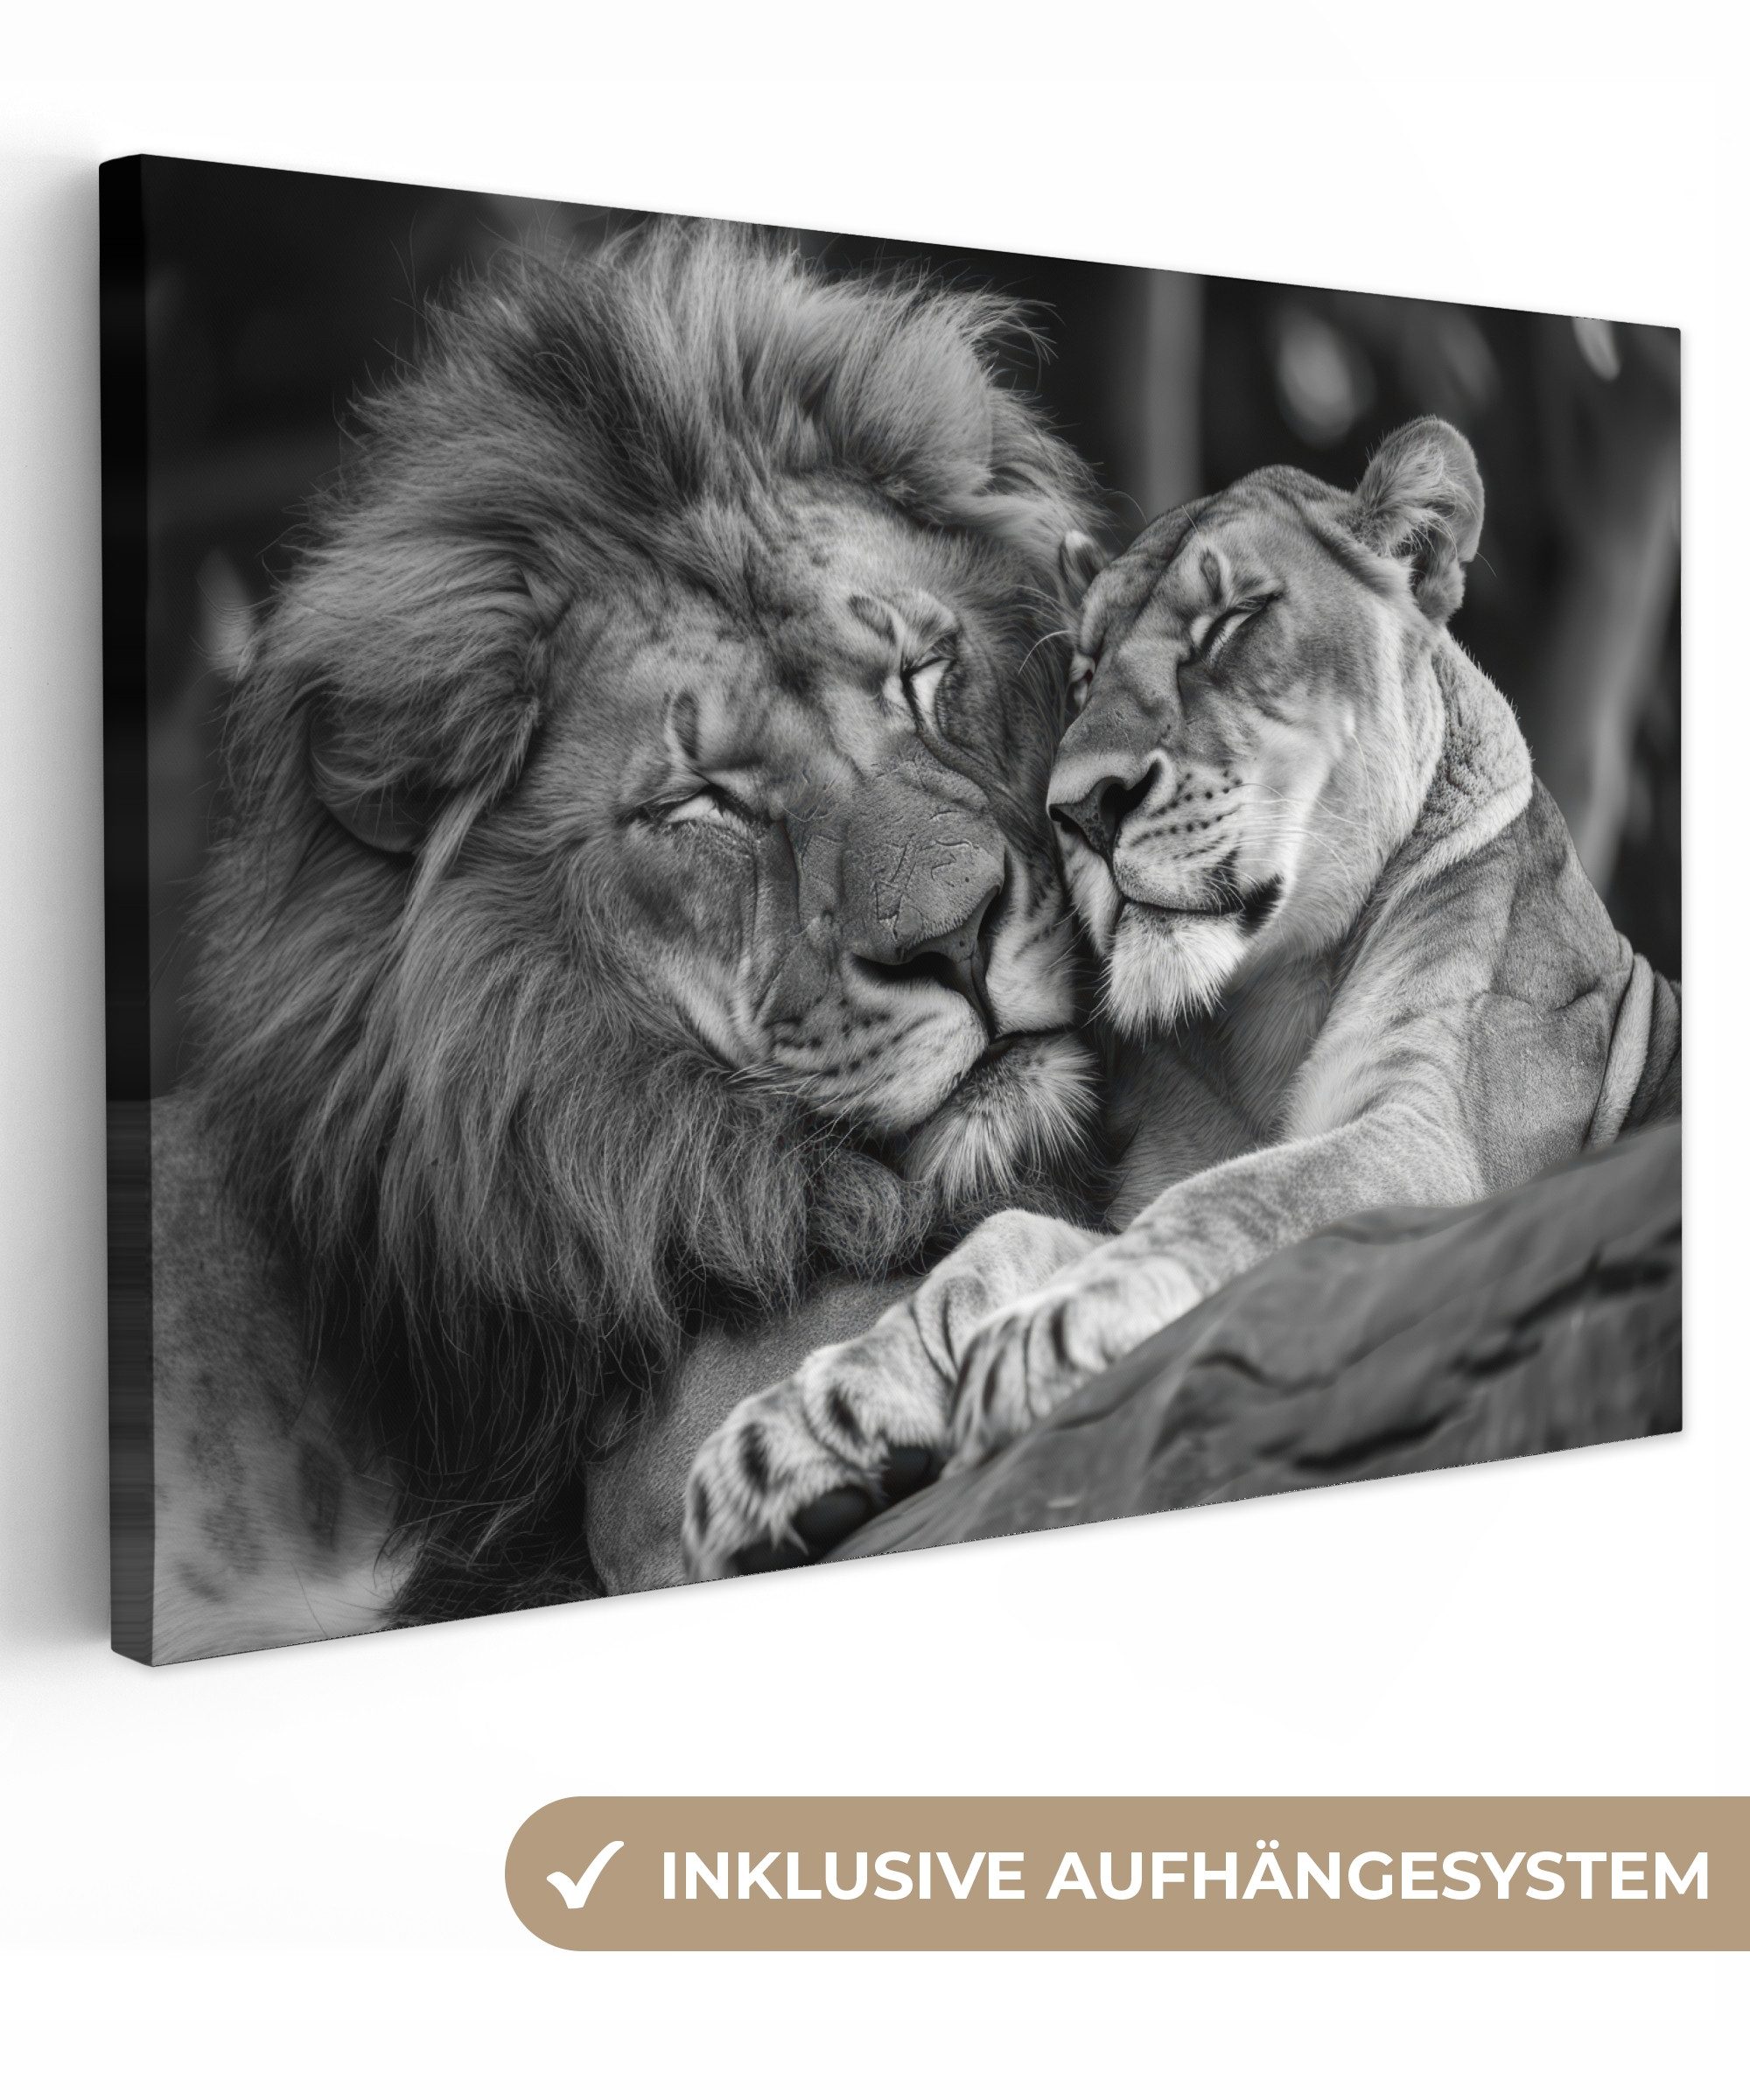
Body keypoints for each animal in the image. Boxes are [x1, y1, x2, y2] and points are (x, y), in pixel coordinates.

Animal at [682, 415, 1682, 1578]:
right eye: (1079, 675)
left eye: (1232, 622)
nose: (1080, 811)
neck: (1262, 1015)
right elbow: (996, 1246)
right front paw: (801, 1423)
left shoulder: (1437, 1151)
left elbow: (1243, 1194)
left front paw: (1052, 1331)